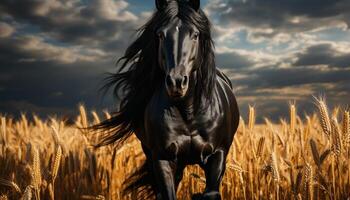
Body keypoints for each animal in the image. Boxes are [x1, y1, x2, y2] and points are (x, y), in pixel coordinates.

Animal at [93, 0, 239, 199]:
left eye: (195, 34)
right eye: (160, 34)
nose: (176, 82)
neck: (189, 111)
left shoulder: (218, 155)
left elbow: (210, 193)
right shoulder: (162, 158)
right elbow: (168, 194)